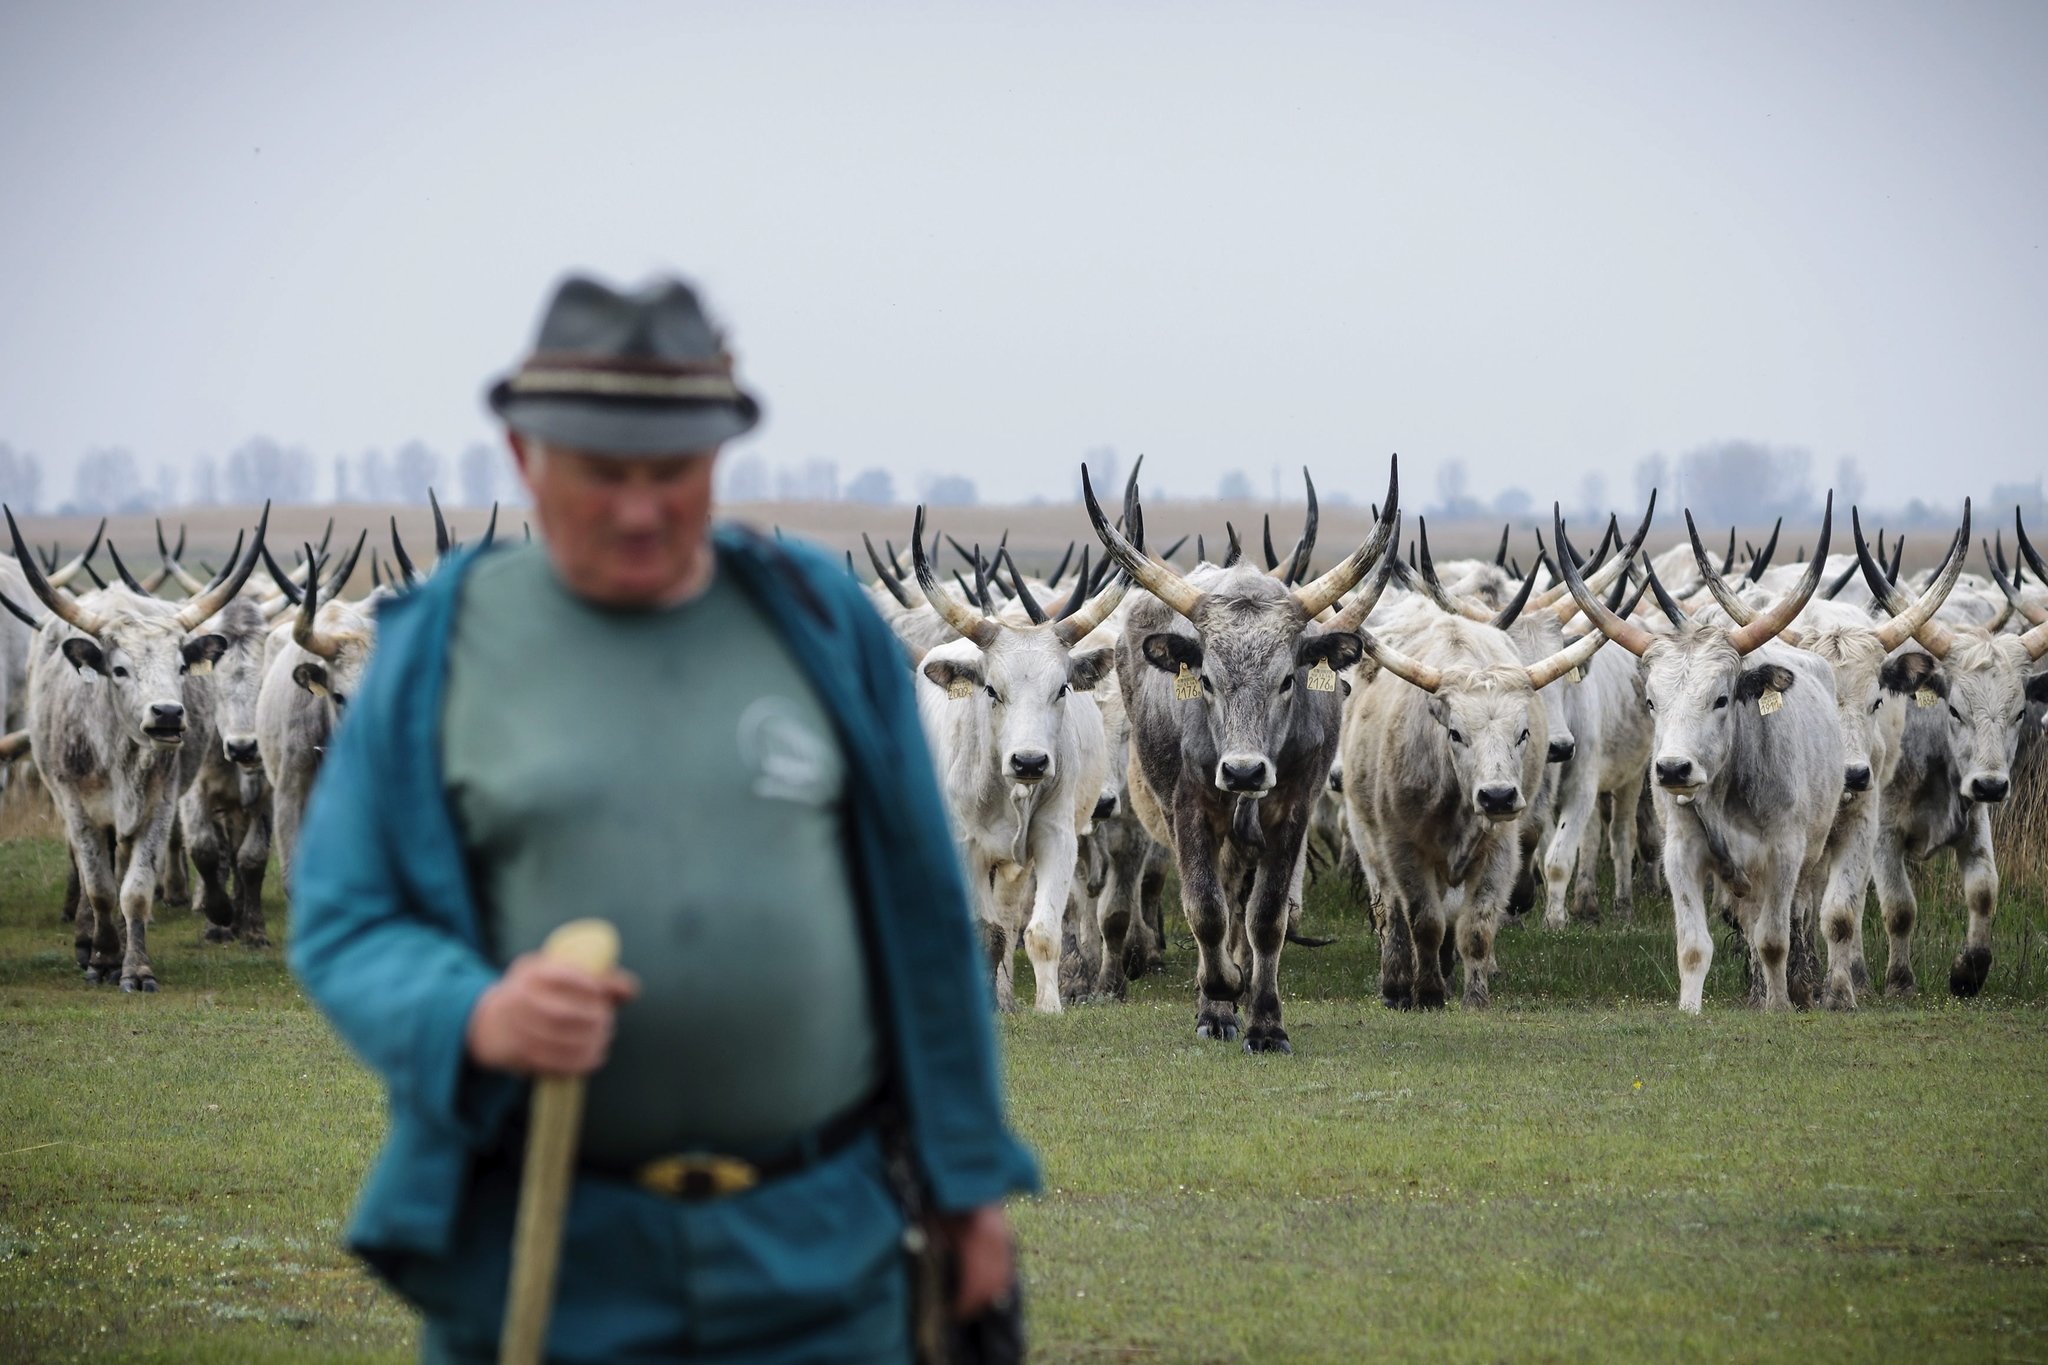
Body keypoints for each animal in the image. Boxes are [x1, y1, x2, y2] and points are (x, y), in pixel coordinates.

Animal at [7, 505, 267, 991]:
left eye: (182, 665)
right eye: (120, 669)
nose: (167, 713)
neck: (117, 751)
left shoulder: (159, 805)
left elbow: (136, 890)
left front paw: (135, 967)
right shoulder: (76, 806)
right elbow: (100, 887)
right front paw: (102, 958)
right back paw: (86, 941)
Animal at [909, 512, 1126, 1013]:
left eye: (1062, 689)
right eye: (991, 689)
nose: (1029, 761)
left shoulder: (1056, 839)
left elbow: (1040, 932)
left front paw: (1049, 1005)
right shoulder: (965, 847)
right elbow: (983, 931)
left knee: (1010, 918)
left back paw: (1007, 996)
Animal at [1084, 459, 1400, 1053]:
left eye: (1287, 681)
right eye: (1206, 680)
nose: (1244, 770)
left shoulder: (1293, 809)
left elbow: (1267, 916)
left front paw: (1265, 1019)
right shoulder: (1188, 807)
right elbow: (1205, 908)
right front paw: (1218, 1002)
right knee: (1220, 893)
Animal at [1560, 498, 1842, 1012]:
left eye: (1721, 699)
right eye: (1651, 701)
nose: (1673, 768)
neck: (1727, 793)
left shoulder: (1785, 854)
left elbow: (1775, 938)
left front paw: (1779, 1005)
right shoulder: (1681, 854)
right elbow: (1693, 946)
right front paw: (1690, 1008)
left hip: (1812, 855)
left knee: (1798, 918)